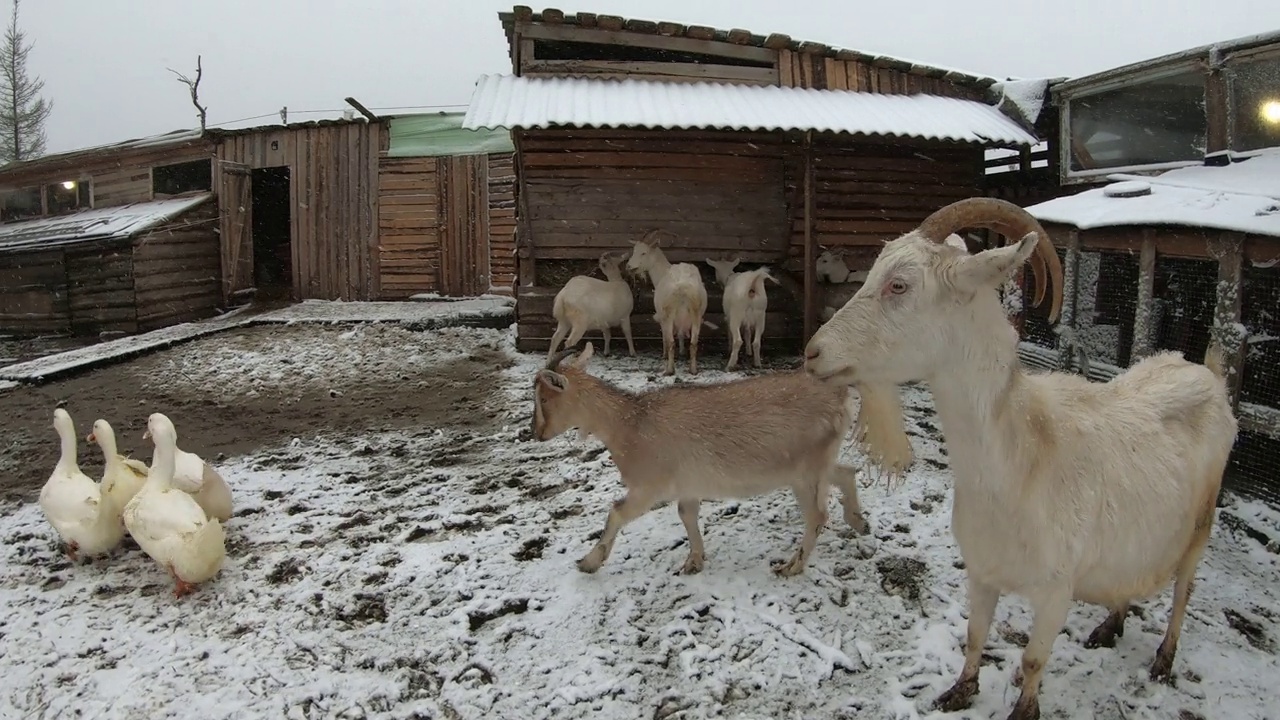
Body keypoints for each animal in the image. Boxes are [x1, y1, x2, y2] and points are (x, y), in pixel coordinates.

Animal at [627, 230, 711, 379]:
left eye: (644, 253)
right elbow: (681, 335)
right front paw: (682, 352)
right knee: (693, 343)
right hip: (696, 313)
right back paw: (693, 370)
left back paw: (669, 370)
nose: (629, 266)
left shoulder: (661, 316)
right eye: (634, 250)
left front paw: (664, 355)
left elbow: (665, 338)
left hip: (668, 313)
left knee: (671, 342)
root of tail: (683, 287)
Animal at [803, 196, 1233, 717]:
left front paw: (1024, 709)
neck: (1019, 464)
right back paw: (1108, 627)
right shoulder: (982, 571)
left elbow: (1032, 659)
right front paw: (959, 691)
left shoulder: (1055, 590)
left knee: (1184, 591)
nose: (812, 353)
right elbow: (974, 635)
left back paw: (1163, 662)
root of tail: (1207, 374)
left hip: (1199, 527)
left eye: (898, 285)